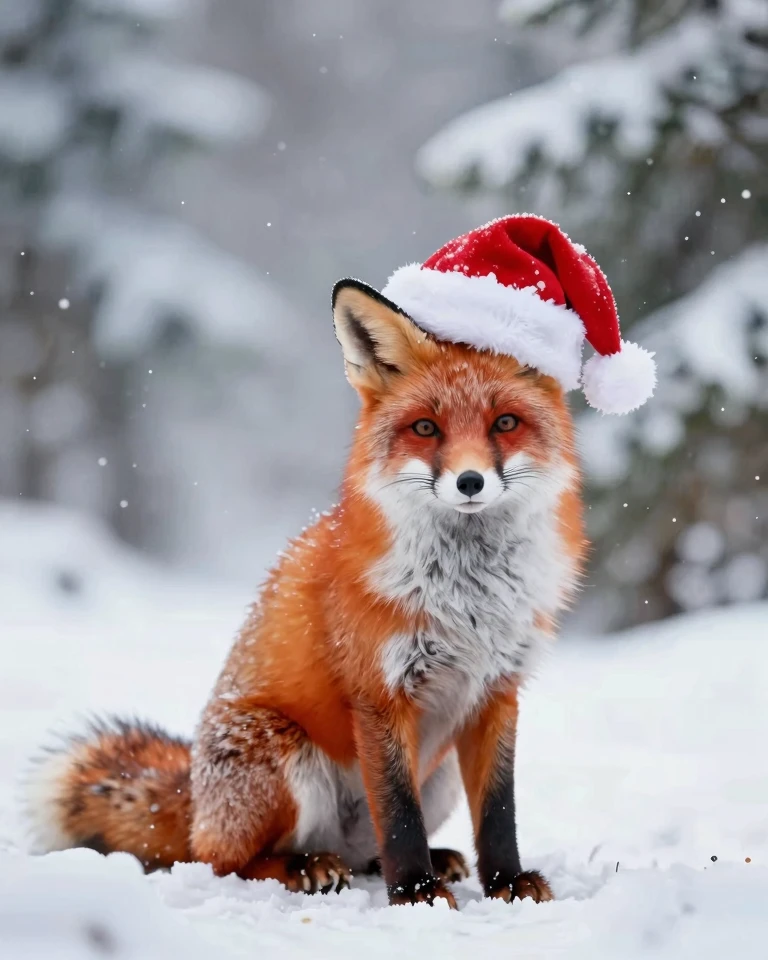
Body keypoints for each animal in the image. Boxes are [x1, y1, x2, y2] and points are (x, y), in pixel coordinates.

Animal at [26, 274, 587, 908]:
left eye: (504, 423)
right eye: (426, 428)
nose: (470, 482)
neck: (469, 596)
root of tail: (197, 803)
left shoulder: (497, 692)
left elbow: (496, 811)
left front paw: (505, 882)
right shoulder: (379, 694)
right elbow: (399, 812)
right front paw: (415, 894)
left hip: (437, 774)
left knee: (366, 853)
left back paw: (423, 861)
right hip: (282, 755)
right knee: (227, 862)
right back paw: (307, 867)